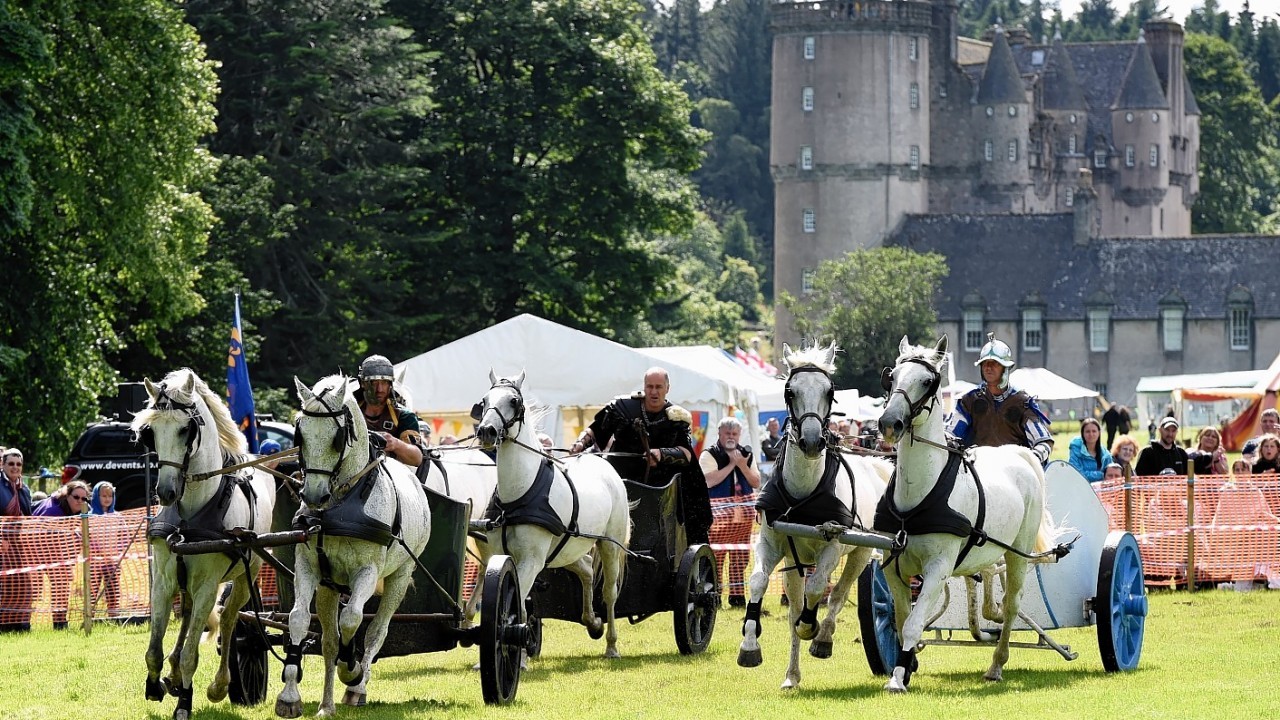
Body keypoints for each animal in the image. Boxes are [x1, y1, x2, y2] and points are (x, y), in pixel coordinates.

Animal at [132, 366, 277, 717]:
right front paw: (156, 684)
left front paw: (185, 701)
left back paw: (219, 685)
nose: (166, 492)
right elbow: (153, 649)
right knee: (187, 617)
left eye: (186, 429)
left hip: (246, 576)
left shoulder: (208, 585)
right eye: (149, 432)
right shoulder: (163, 580)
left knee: (229, 619)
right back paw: (172, 674)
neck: (190, 515)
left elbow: (191, 656)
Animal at [272, 371, 432, 712]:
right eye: (300, 435)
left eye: (337, 436)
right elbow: (298, 619)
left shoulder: (367, 572)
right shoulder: (309, 568)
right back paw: (326, 705)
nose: (313, 495)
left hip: (399, 577)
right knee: (329, 641)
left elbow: (352, 620)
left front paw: (352, 670)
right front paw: (290, 695)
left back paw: (357, 686)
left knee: (375, 631)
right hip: (329, 587)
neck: (341, 505)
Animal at [473, 368, 632, 655]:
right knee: (587, 569)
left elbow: (518, 606)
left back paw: (612, 645)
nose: (486, 431)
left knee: (609, 592)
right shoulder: (501, 556)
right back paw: (592, 622)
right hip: (567, 549)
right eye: (484, 400)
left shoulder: (531, 561)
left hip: (610, 545)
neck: (518, 496)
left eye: (514, 401)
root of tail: (602, 463)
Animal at [737, 340, 896, 691]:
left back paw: (822, 638)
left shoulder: (833, 547)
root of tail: (877, 465)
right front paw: (750, 644)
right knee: (796, 604)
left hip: (861, 553)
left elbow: (818, 589)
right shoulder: (771, 542)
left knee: (837, 595)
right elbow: (757, 582)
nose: (811, 442)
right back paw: (792, 674)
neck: (804, 492)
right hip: (794, 561)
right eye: (790, 391)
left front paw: (811, 627)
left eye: (829, 391)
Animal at [880, 335, 1049, 691]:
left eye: (927, 381)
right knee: (986, 591)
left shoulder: (938, 569)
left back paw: (997, 664)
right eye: (892, 376)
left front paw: (898, 678)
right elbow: (901, 622)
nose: (889, 423)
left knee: (1011, 605)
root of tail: (1018, 455)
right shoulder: (893, 567)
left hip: (1018, 553)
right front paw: (906, 666)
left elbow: (914, 623)